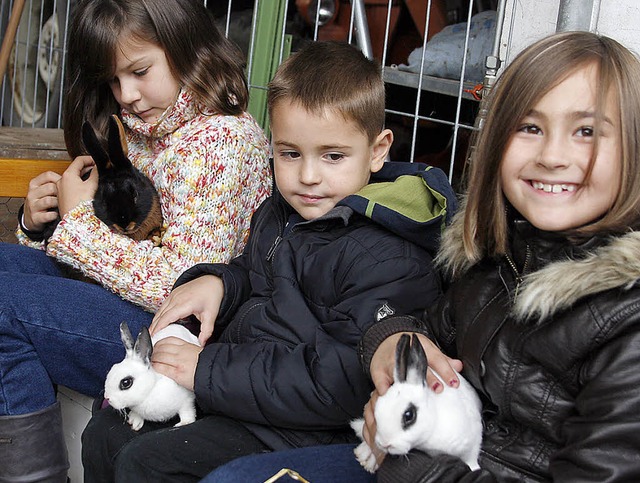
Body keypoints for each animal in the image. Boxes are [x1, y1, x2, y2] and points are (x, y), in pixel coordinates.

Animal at [352, 332, 482, 472]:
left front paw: (475, 468)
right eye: (377, 412)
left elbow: (471, 458)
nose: (385, 444)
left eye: (409, 415)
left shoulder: (471, 442)